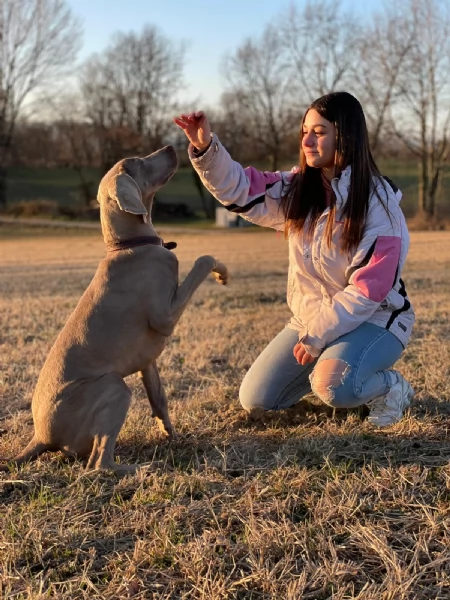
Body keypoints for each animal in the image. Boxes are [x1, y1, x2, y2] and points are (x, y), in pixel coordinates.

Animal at [0, 145, 229, 474]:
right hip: (114, 386)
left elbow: (159, 399)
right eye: (137, 162)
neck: (129, 244)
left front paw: (171, 435)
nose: (171, 147)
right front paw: (219, 270)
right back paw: (142, 468)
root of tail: (41, 437)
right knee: (99, 463)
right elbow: (202, 259)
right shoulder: (165, 316)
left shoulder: (147, 361)